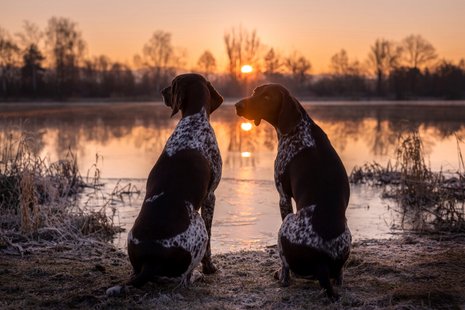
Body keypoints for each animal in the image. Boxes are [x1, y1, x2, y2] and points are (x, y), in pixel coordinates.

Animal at [107, 72, 223, 296]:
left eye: (172, 84)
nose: (161, 91)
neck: (193, 121)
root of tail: (151, 262)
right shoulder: (210, 196)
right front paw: (210, 268)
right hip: (198, 227)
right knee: (183, 278)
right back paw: (196, 276)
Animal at [234, 84, 350, 298]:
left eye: (267, 97)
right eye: (254, 92)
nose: (238, 105)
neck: (299, 129)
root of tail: (321, 262)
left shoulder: (283, 196)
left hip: (285, 227)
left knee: (286, 271)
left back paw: (280, 275)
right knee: (339, 275)